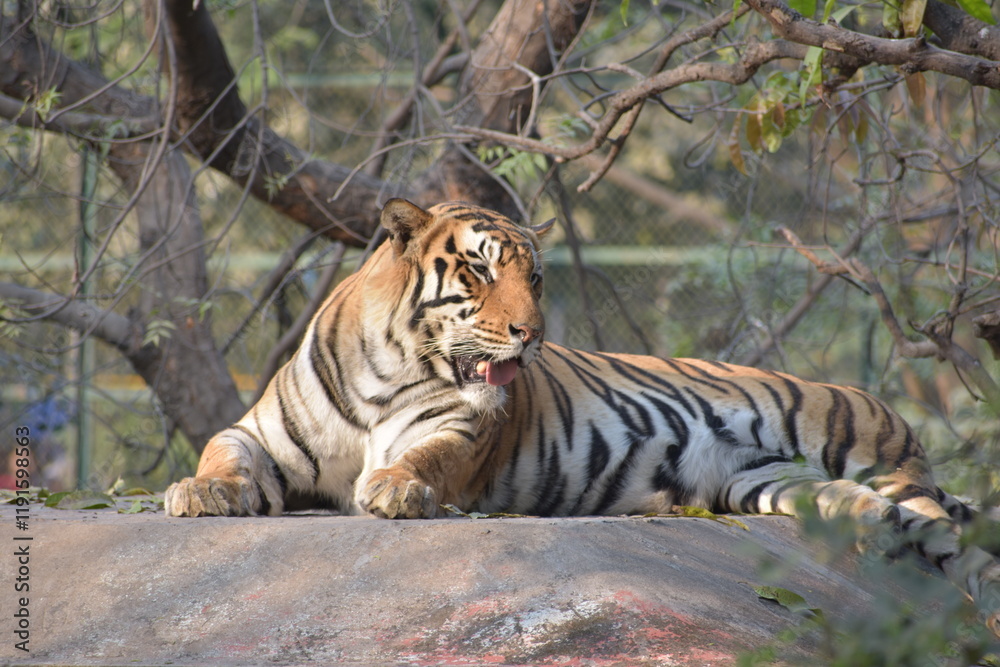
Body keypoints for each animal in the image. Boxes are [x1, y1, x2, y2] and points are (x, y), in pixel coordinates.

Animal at [165, 198, 1000, 631]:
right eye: (480, 269)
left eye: (535, 277)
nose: (530, 332)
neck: (390, 362)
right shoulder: (260, 432)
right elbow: (221, 450)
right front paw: (199, 492)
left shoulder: (456, 433)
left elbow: (419, 457)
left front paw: (395, 487)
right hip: (769, 484)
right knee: (863, 510)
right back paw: (868, 531)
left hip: (879, 462)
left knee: (965, 550)